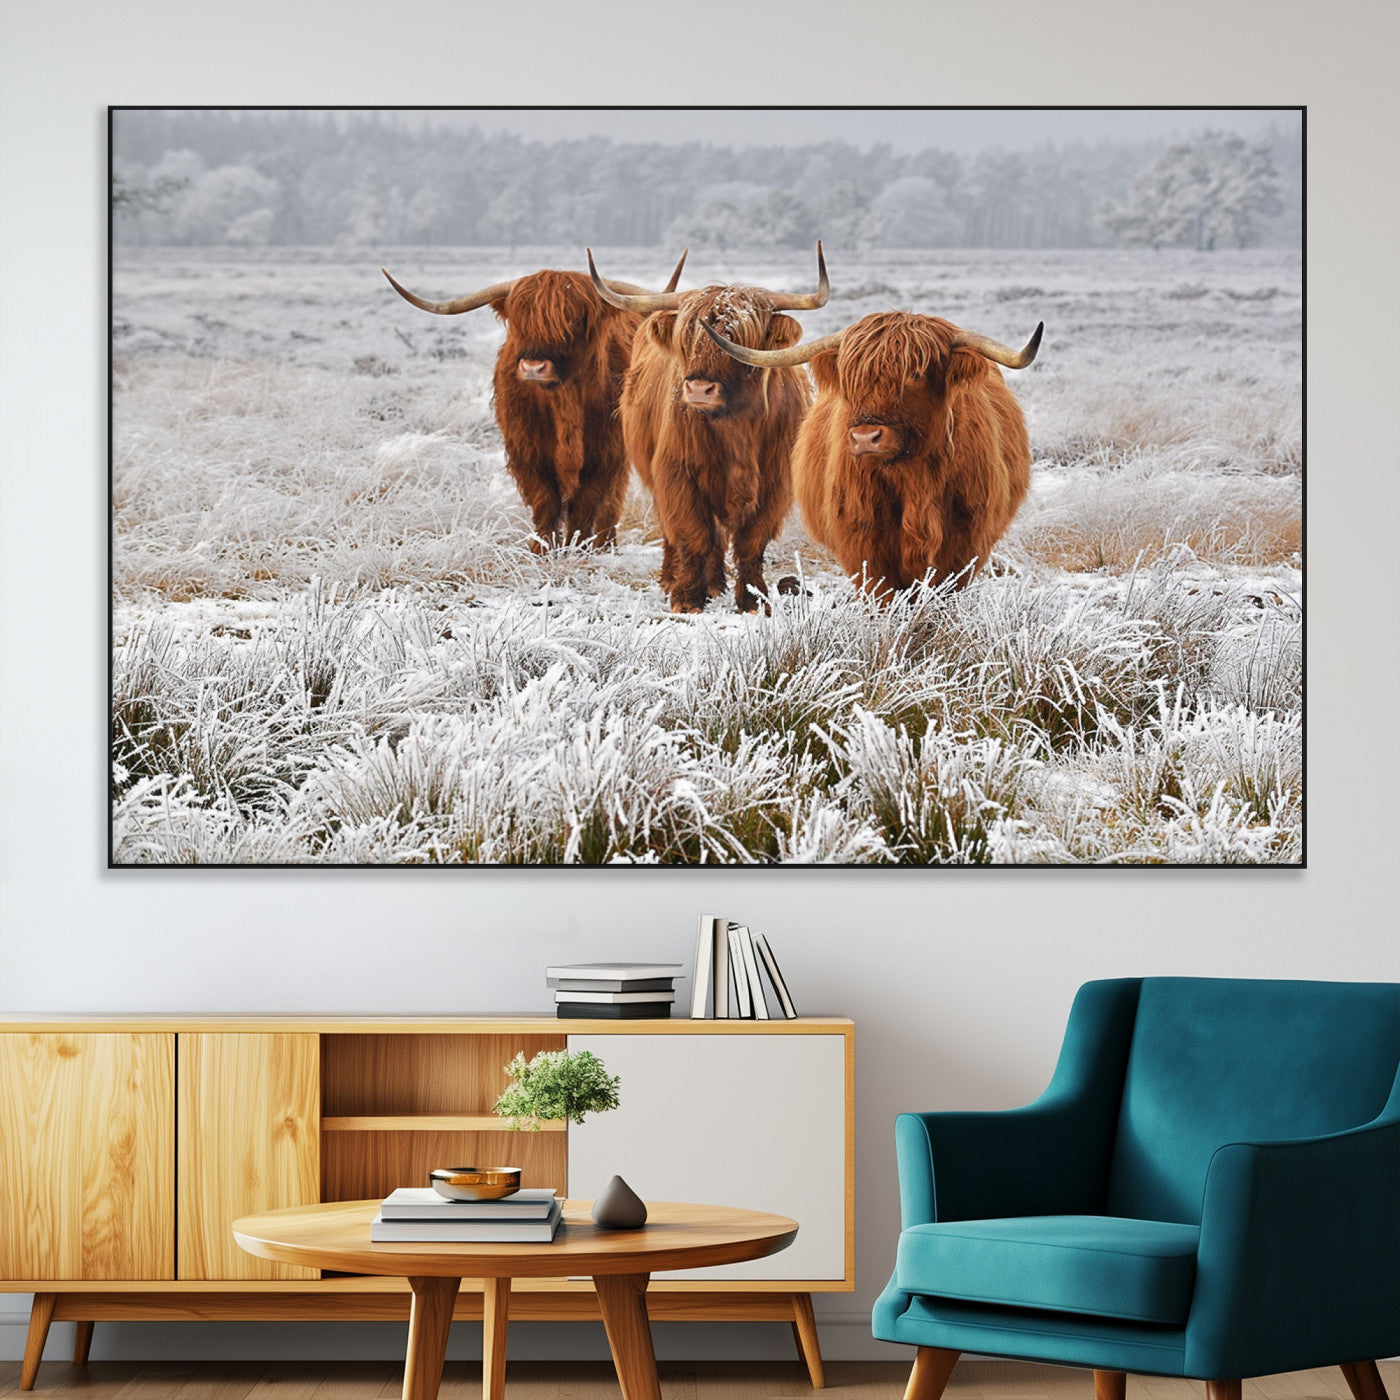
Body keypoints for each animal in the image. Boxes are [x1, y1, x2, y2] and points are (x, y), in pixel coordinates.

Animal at [382, 253, 686, 550]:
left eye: (573, 319)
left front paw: (579, 548)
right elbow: (545, 500)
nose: (533, 367)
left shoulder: (606, 451)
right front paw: (542, 549)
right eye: (520, 321)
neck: (564, 403)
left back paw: (605, 544)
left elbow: (586, 502)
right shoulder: (527, 450)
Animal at [588, 245, 829, 613]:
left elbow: (750, 543)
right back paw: (676, 580)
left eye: (737, 338)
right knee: (680, 534)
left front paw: (753, 599)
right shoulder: (677, 474)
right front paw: (687, 599)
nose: (699, 389)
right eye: (686, 338)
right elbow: (693, 536)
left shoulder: (775, 484)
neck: (736, 427)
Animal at [702, 310, 1043, 599]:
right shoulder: (863, 543)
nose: (866, 437)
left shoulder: (965, 543)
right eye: (851, 377)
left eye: (915, 374)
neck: (914, 480)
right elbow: (883, 596)